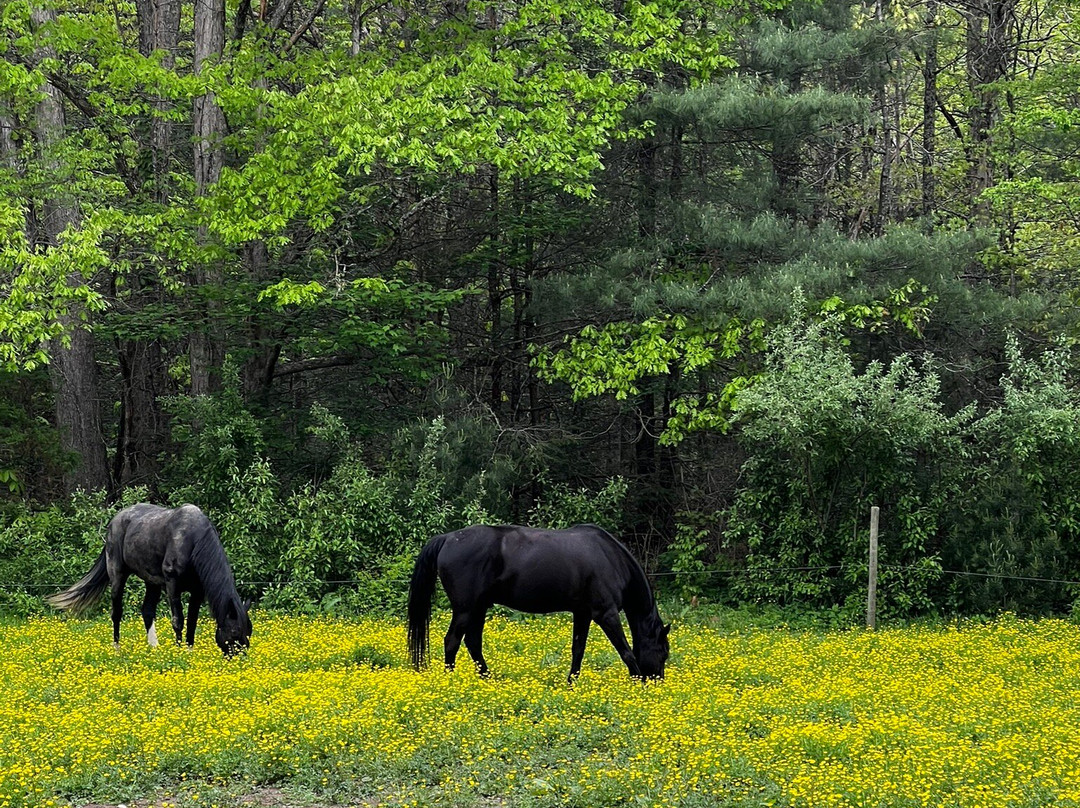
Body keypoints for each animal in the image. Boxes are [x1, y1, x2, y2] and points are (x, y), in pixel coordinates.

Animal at [47, 503, 252, 656]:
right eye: (234, 631)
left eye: (249, 631)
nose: (239, 659)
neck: (192, 541)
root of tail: (114, 520)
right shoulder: (172, 585)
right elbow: (178, 620)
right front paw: (179, 652)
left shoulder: (197, 591)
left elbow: (192, 622)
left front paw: (189, 651)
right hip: (117, 575)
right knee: (116, 613)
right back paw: (117, 649)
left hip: (151, 582)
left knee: (146, 611)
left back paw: (154, 647)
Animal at [407, 523, 670, 681]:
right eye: (663, 652)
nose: (657, 681)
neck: (611, 558)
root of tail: (448, 538)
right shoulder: (606, 613)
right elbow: (626, 652)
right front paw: (638, 680)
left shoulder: (582, 613)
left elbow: (578, 649)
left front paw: (571, 682)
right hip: (465, 609)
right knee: (452, 642)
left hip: (478, 608)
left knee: (473, 644)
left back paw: (487, 679)